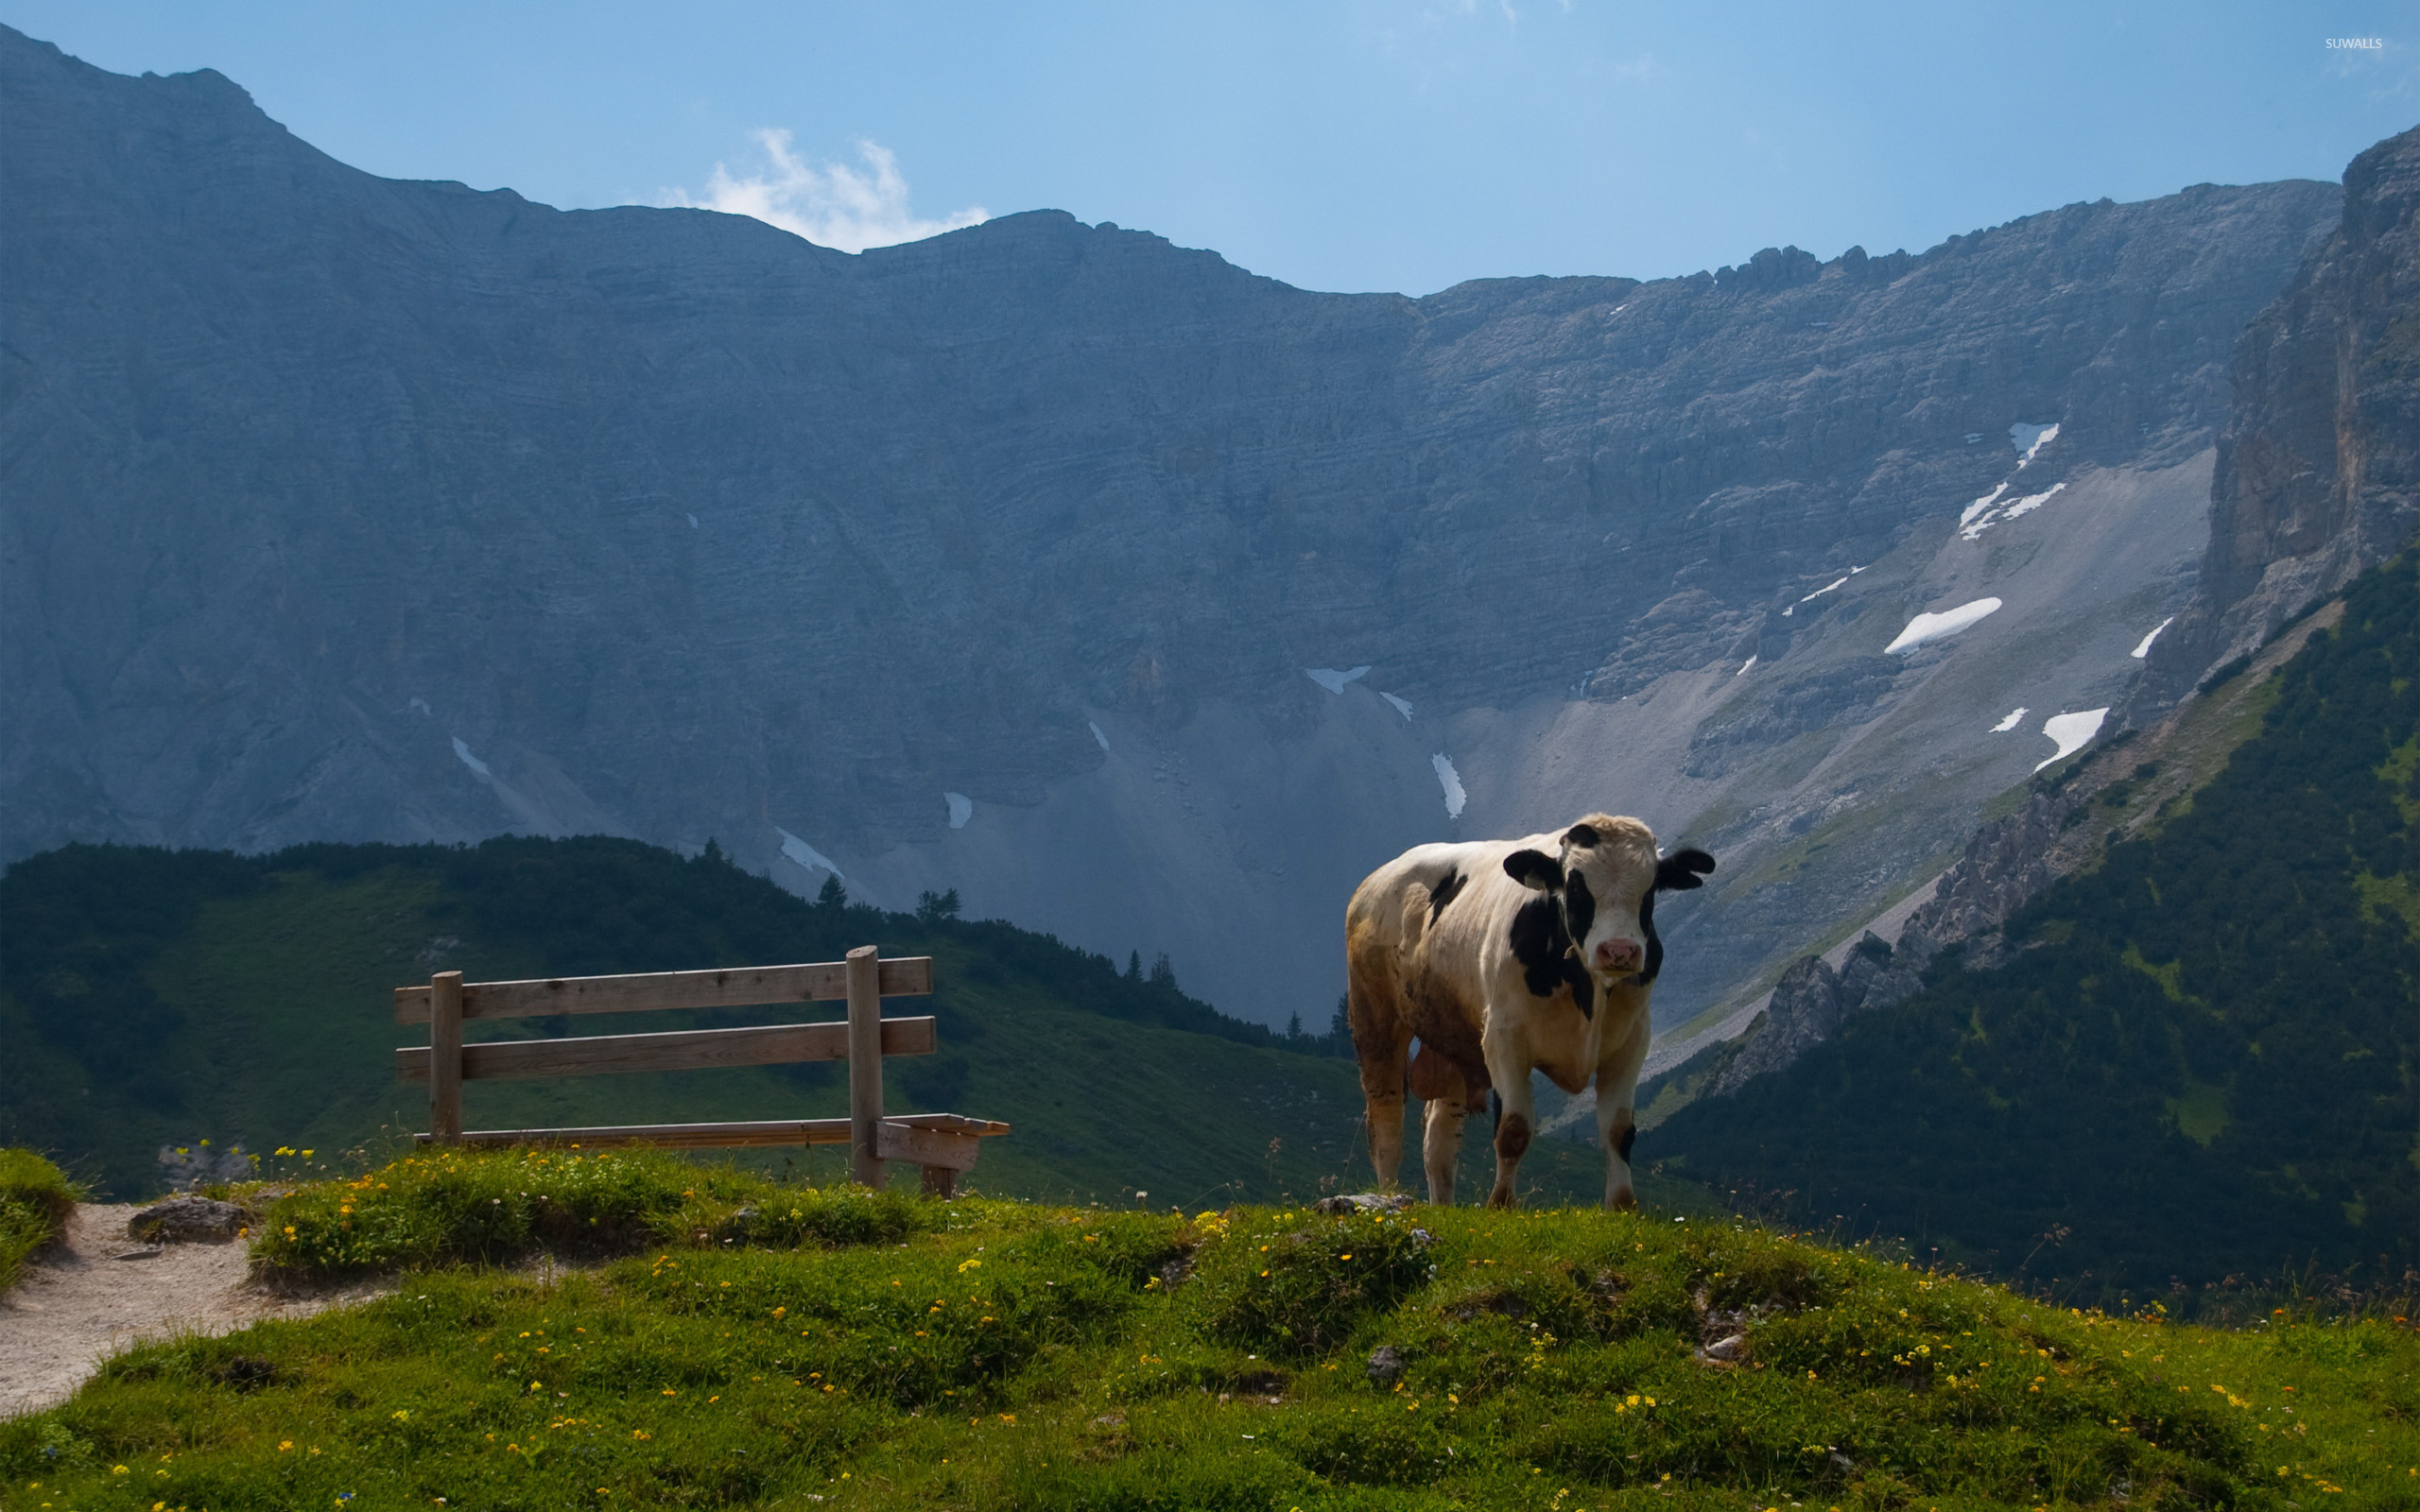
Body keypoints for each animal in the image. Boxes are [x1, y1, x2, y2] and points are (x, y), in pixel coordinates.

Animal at [1345, 808, 1722, 1210]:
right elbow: (1514, 1128)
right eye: (1576, 888)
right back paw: (1387, 1196)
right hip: (1375, 1017)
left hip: (1455, 1040)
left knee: (1439, 1139)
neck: (1586, 987)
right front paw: (1501, 1204)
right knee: (1385, 1119)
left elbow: (1619, 1131)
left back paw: (1442, 1206)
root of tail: (1377, 878)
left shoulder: (1632, 1042)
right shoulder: (1503, 1038)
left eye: (1649, 890)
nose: (1619, 951)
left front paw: (1622, 1206)